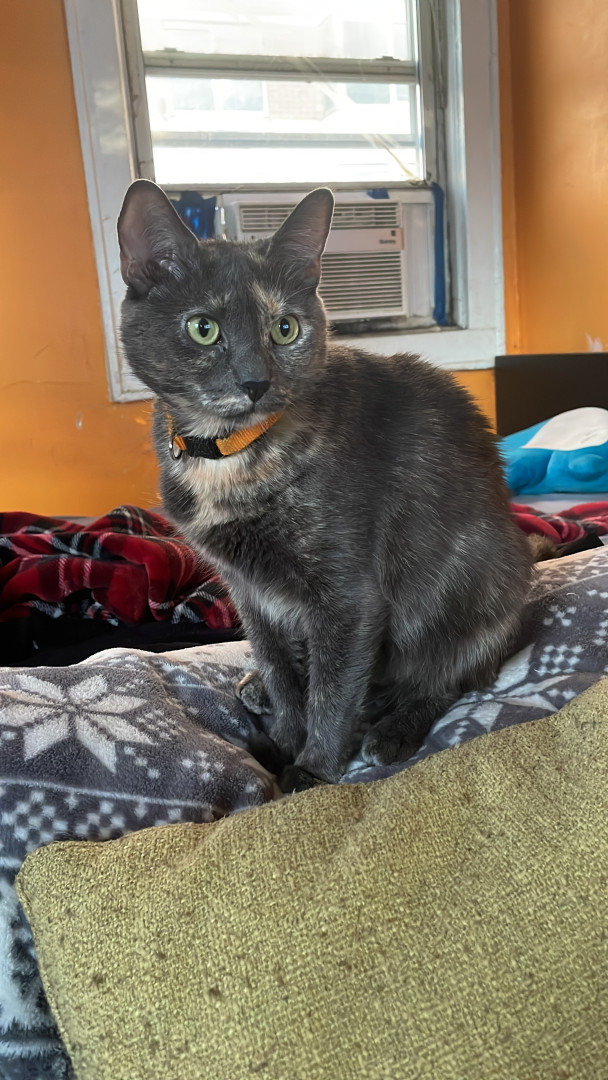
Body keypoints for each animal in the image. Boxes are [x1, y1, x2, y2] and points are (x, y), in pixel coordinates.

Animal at [118, 179, 531, 789]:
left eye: (284, 328)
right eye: (203, 328)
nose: (255, 381)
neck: (230, 457)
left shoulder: (347, 593)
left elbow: (333, 690)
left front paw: (311, 770)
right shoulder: (249, 590)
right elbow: (281, 668)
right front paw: (283, 741)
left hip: (475, 586)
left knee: (450, 675)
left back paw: (393, 729)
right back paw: (264, 691)